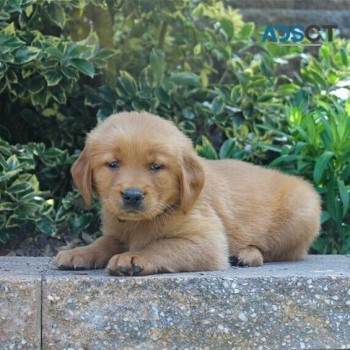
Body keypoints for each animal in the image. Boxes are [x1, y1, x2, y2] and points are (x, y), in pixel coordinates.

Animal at [54, 112, 320, 276]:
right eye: (113, 164)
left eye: (156, 166)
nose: (132, 195)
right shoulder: (117, 233)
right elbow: (103, 242)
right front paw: (79, 253)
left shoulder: (207, 240)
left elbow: (162, 245)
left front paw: (133, 257)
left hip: (302, 211)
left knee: (281, 252)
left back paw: (248, 254)